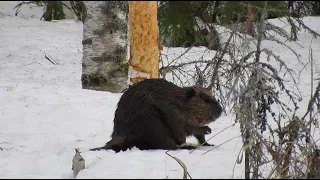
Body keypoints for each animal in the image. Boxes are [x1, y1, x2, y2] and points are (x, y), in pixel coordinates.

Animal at [90, 78, 222, 153]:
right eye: (205, 100)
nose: (220, 110)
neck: (178, 101)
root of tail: (119, 136)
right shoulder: (174, 113)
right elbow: (186, 129)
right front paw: (206, 129)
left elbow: (198, 135)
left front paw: (208, 142)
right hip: (152, 123)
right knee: (168, 146)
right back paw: (188, 147)